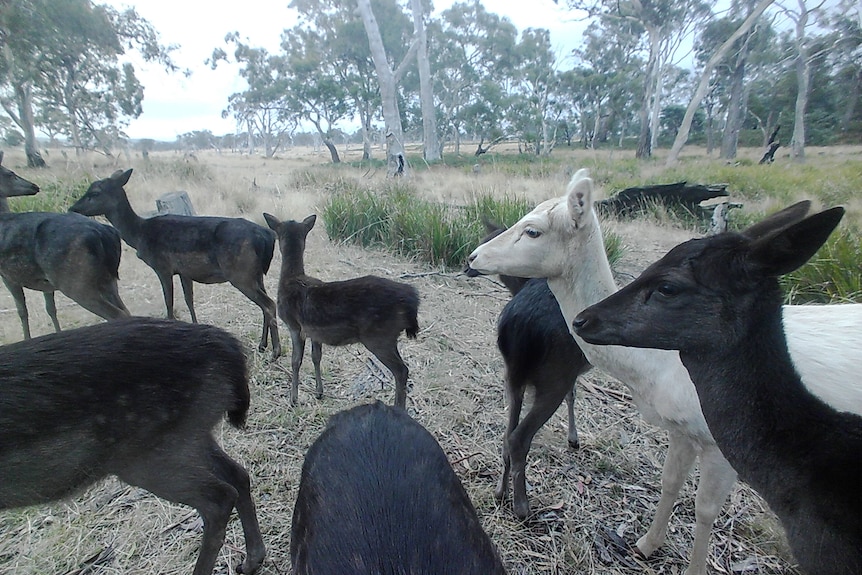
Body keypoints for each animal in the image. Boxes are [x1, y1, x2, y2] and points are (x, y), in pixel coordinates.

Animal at [0, 155, 130, 340]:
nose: (33, 186)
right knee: (125, 310)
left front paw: (27, 338)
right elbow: (50, 308)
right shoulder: (46, 283)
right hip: (107, 280)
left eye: (10, 173)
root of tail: (104, 234)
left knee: (118, 314)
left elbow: (22, 310)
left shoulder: (7, 275)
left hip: (74, 281)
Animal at [0, 318, 264, 572]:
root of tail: (228, 347)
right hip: (187, 435)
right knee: (237, 473)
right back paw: (251, 561)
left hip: (147, 455)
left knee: (219, 497)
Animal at [71, 170, 280, 360]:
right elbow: (189, 300)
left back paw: (275, 352)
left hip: (240, 273)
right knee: (265, 305)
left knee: (269, 304)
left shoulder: (162, 267)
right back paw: (262, 346)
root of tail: (266, 236)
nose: (74, 208)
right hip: (256, 273)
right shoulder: (184, 272)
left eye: (95, 192)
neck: (139, 235)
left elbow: (169, 302)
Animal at [266, 214, 422, 408]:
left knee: (401, 370)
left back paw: (398, 407)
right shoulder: (314, 332)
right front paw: (319, 392)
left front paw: (293, 399)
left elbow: (296, 361)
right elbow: (316, 357)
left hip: (379, 336)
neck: (291, 280)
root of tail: (411, 299)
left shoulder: (294, 324)